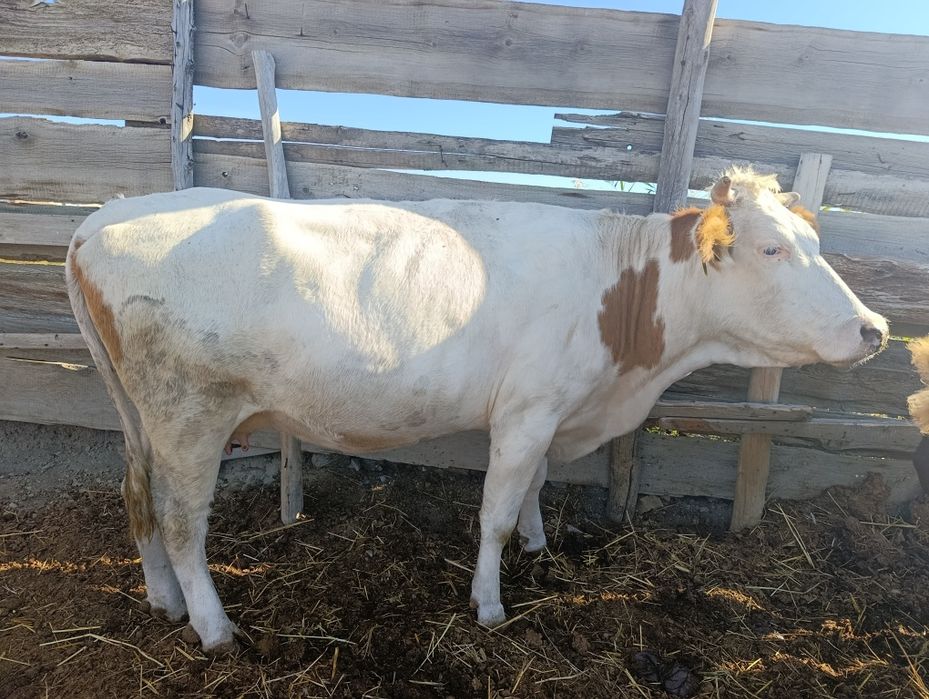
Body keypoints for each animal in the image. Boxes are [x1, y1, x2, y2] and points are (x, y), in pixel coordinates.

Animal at [66, 167, 888, 652]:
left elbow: (532, 488)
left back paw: (163, 601)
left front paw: (538, 546)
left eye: (812, 239)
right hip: (189, 414)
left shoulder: (551, 410)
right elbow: (493, 509)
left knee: (135, 498)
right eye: (772, 249)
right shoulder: (527, 409)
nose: (874, 329)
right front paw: (490, 603)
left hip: (141, 417)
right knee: (179, 521)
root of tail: (102, 218)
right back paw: (213, 627)